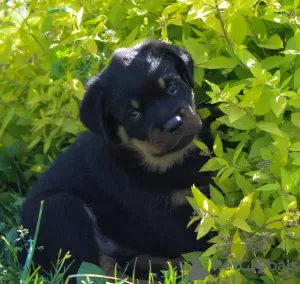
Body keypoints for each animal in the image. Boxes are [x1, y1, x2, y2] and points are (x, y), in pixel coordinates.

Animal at [18, 38, 213, 282]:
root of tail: (22, 249)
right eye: (133, 114)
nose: (174, 124)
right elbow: (205, 237)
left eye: (172, 87)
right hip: (61, 209)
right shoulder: (164, 219)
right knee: (95, 272)